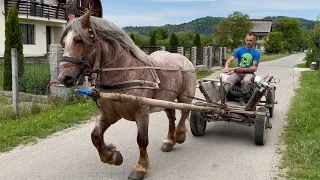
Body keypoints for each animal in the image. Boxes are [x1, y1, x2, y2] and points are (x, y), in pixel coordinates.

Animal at [57, 10, 198, 180]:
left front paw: (140, 167)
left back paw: (180, 134)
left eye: (78, 40)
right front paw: (112, 155)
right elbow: (95, 136)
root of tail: (184, 59)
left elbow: (142, 140)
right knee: (171, 116)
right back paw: (170, 141)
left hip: (185, 96)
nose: (63, 78)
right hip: (165, 100)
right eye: (64, 43)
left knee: (185, 111)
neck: (124, 73)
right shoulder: (110, 113)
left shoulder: (142, 113)